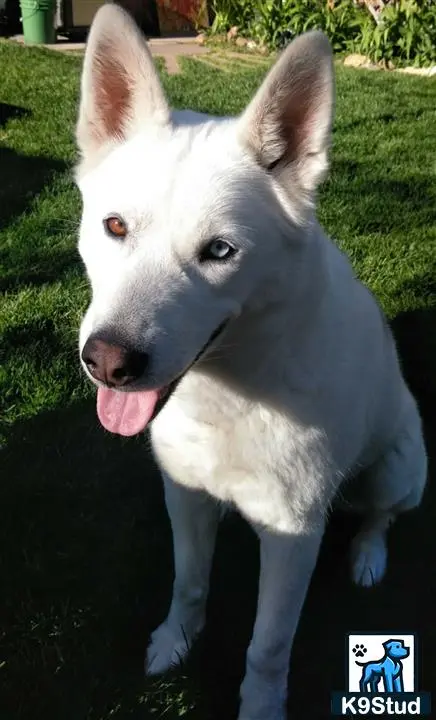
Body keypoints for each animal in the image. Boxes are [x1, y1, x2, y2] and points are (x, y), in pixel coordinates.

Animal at [75, 7, 426, 720]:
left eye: (219, 251)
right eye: (115, 227)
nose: (107, 363)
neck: (226, 396)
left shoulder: (292, 536)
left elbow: (266, 648)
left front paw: (260, 707)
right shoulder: (183, 496)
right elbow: (189, 584)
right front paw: (175, 642)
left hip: (399, 469)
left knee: (379, 516)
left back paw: (368, 556)